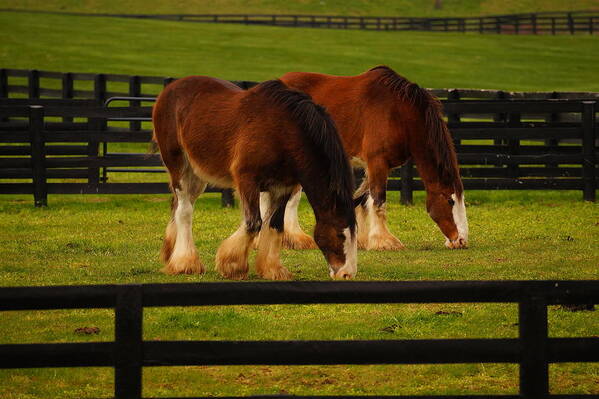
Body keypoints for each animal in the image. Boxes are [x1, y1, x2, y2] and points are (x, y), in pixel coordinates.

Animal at [155, 76, 358, 282]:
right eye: (340, 235)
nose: (347, 273)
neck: (282, 131)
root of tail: (170, 88)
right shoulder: (247, 181)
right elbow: (254, 223)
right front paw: (232, 265)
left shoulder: (282, 187)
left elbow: (275, 225)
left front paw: (272, 268)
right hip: (179, 166)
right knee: (184, 210)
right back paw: (185, 262)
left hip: (197, 175)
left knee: (177, 205)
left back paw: (171, 254)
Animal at [276, 67, 468, 252]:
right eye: (450, 200)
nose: (461, 241)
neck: (398, 113)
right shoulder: (377, 162)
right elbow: (378, 201)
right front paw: (384, 241)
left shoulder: (378, 166)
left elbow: (361, 199)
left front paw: (360, 240)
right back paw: (296, 239)